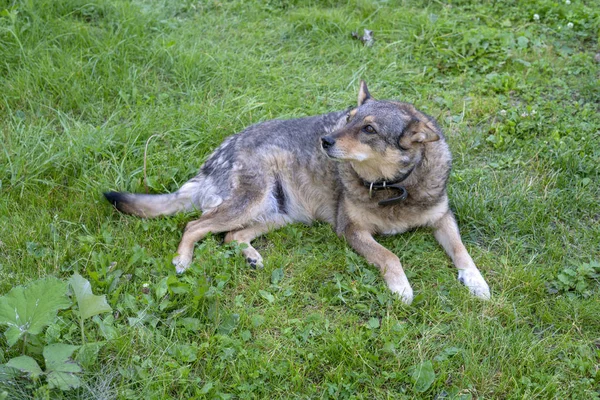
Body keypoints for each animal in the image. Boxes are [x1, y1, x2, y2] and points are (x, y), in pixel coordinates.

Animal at [104, 82, 488, 304]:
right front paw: (401, 287)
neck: (393, 186)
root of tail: (210, 163)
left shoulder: (442, 218)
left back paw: (251, 257)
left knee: (230, 236)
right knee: (195, 225)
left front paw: (476, 282)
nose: (325, 140)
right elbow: (389, 255)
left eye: (368, 129)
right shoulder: (351, 230)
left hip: (279, 215)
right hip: (251, 202)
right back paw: (183, 260)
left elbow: (462, 251)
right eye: (348, 118)